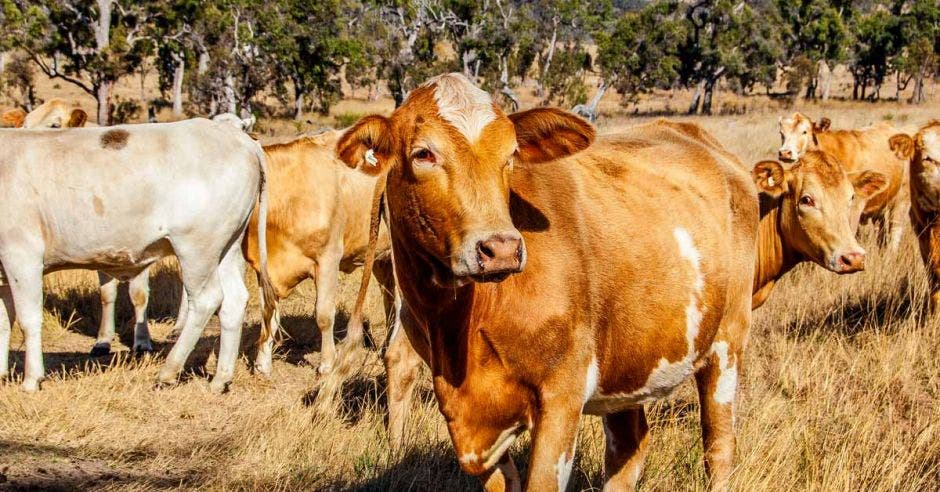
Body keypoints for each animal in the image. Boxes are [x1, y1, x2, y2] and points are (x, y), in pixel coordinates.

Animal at [0, 119, 278, 392]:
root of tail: (236, 136)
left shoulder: (21, 256)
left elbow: (27, 320)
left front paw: (31, 380)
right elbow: (3, 322)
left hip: (197, 248)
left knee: (206, 300)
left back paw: (168, 371)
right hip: (226, 248)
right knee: (234, 301)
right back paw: (220, 379)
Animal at [338, 73, 756, 492]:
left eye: (510, 154)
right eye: (424, 153)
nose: (501, 249)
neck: (459, 328)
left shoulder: (562, 394)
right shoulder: (472, 424)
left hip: (727, 342)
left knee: (718, 446)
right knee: (629, 447)